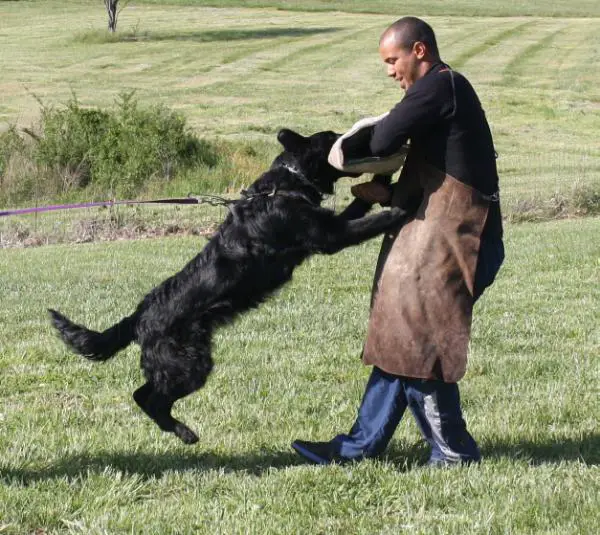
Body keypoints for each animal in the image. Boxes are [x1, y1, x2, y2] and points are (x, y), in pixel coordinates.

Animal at [49, 129, 406, 444]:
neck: (285, 186)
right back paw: (186, 434)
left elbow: (358, 209)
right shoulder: (330, 236)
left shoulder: (329, 225)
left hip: (177, 363)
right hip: (189, 363)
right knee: (150, 399)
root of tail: (138, 316)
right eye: (333, 137)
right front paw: (398, 210)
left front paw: (382, 184)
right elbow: (368, 222)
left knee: (142, 394)